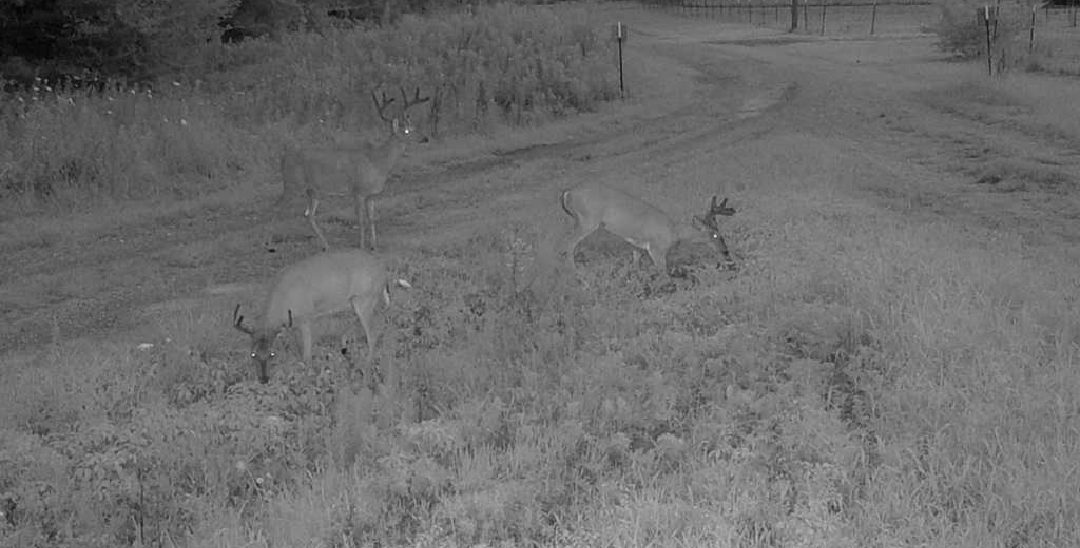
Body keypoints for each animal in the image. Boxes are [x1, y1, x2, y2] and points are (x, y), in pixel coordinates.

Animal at [233, 249, 411, 383]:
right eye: (253, 354)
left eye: (272, 354)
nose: (263, 379)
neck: (283, 299)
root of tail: (384, 273)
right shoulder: (292, 324)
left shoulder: (306, 316)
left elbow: (306, 355)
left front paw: (308, 375)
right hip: (355, 302)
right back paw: (344, 346)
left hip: (364, 298)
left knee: (373, 332)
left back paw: (365, 369)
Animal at [280, 86, 431, 251]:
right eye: (408, 130)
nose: (425, 138)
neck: (378, 163)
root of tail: (284, 158)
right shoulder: (358, 191)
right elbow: (361, 220)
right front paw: (362, 246)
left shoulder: (371, 195)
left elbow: (371, 219)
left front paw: (374, 246)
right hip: (292, 185)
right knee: (279, 209)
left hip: (312, 191)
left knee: (309, 215)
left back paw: (327, 246)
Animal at [560, 182, 736, 275]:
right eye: (715, 235)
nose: (726, 252)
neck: (673, 231)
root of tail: (568, 193)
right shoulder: (657, 249)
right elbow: (663, 273)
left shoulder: (638, 245)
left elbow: (636, 263)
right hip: (588, 220)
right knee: (569, 242)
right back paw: (574, 272)